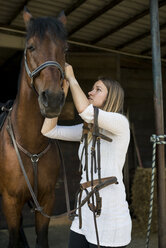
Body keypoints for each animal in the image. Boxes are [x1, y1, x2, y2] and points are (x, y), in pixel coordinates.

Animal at [0, 8, 68, 248]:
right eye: (31, 47)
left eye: (65, 49)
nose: (53, 99)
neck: (32, 148)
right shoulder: (10, 201)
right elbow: (12, 237)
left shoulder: (46, 201)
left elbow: (42, 238)